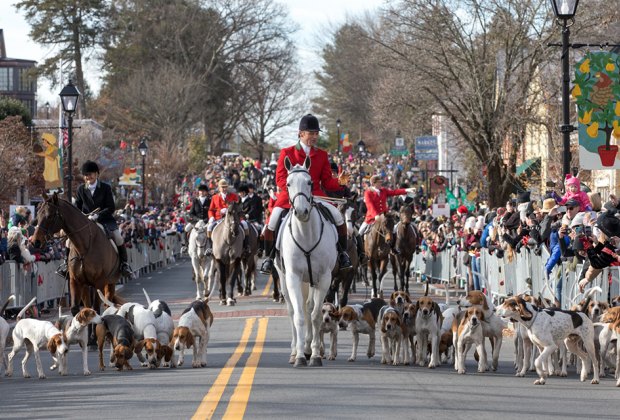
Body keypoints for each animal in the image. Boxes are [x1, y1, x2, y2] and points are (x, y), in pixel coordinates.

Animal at [278, 158, 340, 368]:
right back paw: (294, 350)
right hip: (284, 279)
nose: (301, 211)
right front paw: (299, 356)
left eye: (310, 182)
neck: (305, 234)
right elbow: (298, 316)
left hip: (311, 280)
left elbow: (315, 315)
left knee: (309, 306)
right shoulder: (293, 277)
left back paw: (307, 347)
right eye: (288, 184)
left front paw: (313, 354)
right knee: (292, 310)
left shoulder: (324, 278)